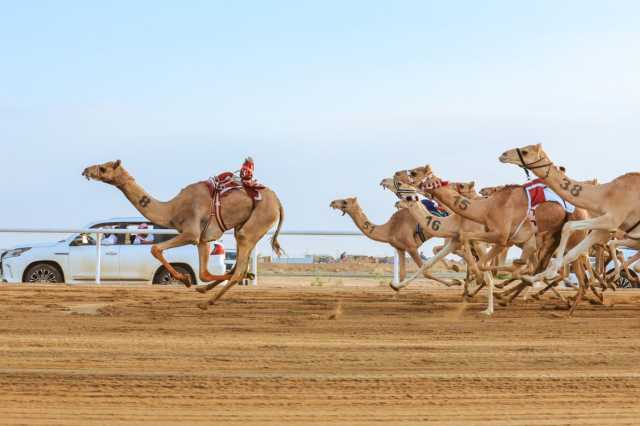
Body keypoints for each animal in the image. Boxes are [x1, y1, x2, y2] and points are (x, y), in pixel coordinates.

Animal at [81, 158, 284, 308]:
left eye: (103, 168)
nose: (86, 170)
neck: (171, 209)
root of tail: (278, 203)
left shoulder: (191, 233)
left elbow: (155, 248)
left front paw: (184, 279)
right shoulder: (203, 239)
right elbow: (203, 273)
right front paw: (191, 282)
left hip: (256, 223)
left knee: (238, 268)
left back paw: (207, 302)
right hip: (244, 228)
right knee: (236, 267)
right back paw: (210, 289)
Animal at [330, 198, 460, 288]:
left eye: (345, 201)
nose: (332, 202)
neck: (390, 229)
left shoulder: (411, 247)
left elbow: (426, 272)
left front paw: (455, 282)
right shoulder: (400, 248)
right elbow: (402, 275)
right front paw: (396, 292)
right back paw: (455, 267)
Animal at [500, 145, 640, 284]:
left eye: (525, 152)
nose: (503, 155)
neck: (605, 195)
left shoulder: (614, 218)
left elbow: (568, 226)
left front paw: (549, 273)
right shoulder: (604, 229)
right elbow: (574, 251)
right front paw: (535, 277)